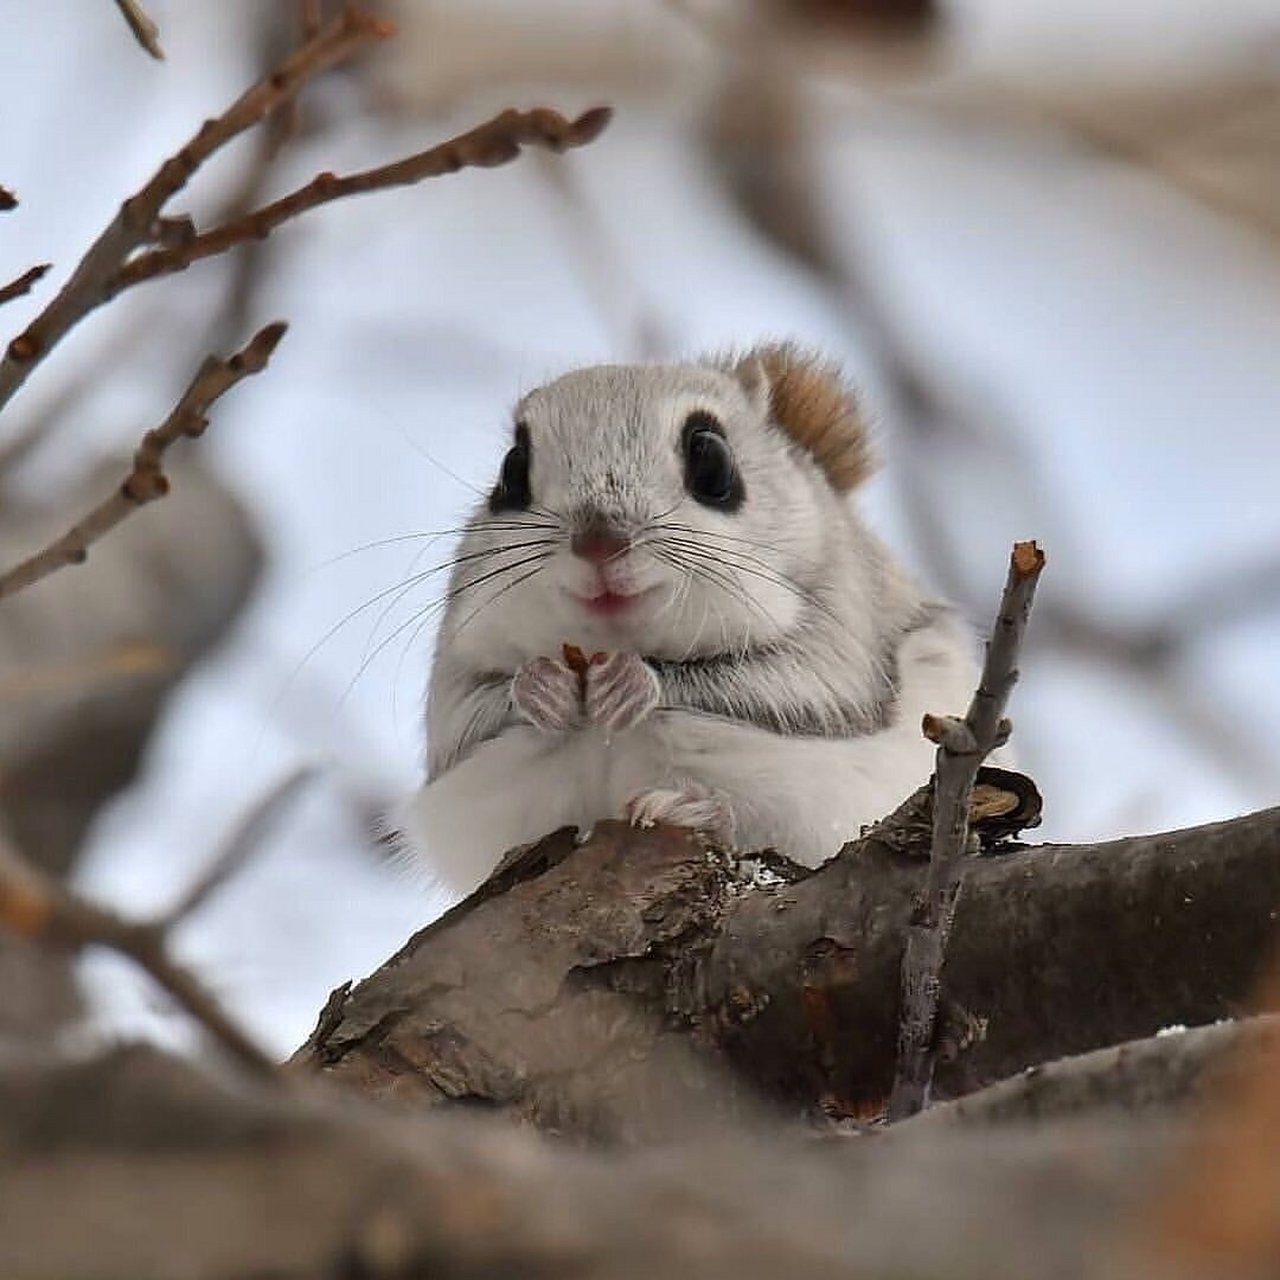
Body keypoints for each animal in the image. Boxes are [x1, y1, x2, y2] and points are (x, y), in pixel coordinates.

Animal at [404, 345, 972, 896]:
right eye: (511, 470)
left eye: (714, 462)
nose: (599, 543)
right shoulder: (455, 669)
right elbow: (462, 715)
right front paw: (544, 688)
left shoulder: (840, 629)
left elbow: (805, 686)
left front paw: (632, 683)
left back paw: (691, 807)